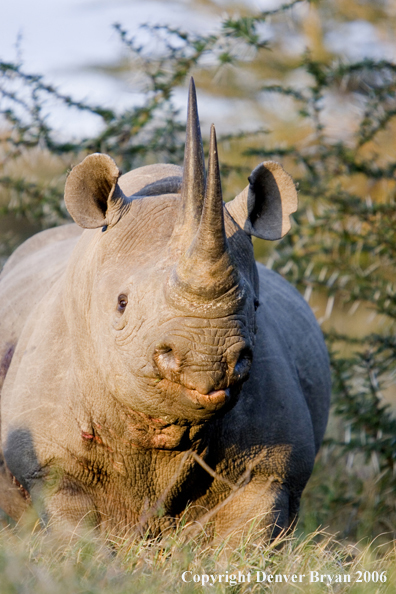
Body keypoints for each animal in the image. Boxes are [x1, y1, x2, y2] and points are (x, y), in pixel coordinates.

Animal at [0, 77, 330, 536]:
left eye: (256, 305)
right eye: (121, 304)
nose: (207, 360)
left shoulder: (272, 469)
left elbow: (247, 536)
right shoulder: (46, 462)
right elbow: (75, 534)